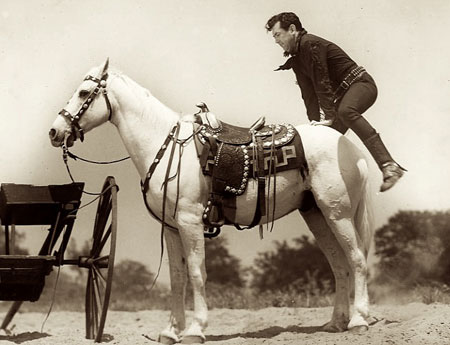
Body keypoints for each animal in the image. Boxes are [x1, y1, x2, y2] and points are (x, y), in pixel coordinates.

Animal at [49, 60, 374, 342]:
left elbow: (196, 273)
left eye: (83, 92)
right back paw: (336, 323)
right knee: (339, 265)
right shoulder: (171, 228)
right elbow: (177, 277)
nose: (55, 131)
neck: (166, 146)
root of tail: (350, 148)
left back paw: (358, 320)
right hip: (316, 214)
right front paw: (170, 332)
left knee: (356, 259)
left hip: (338, 214)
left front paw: (195, 330)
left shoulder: (190, 222)